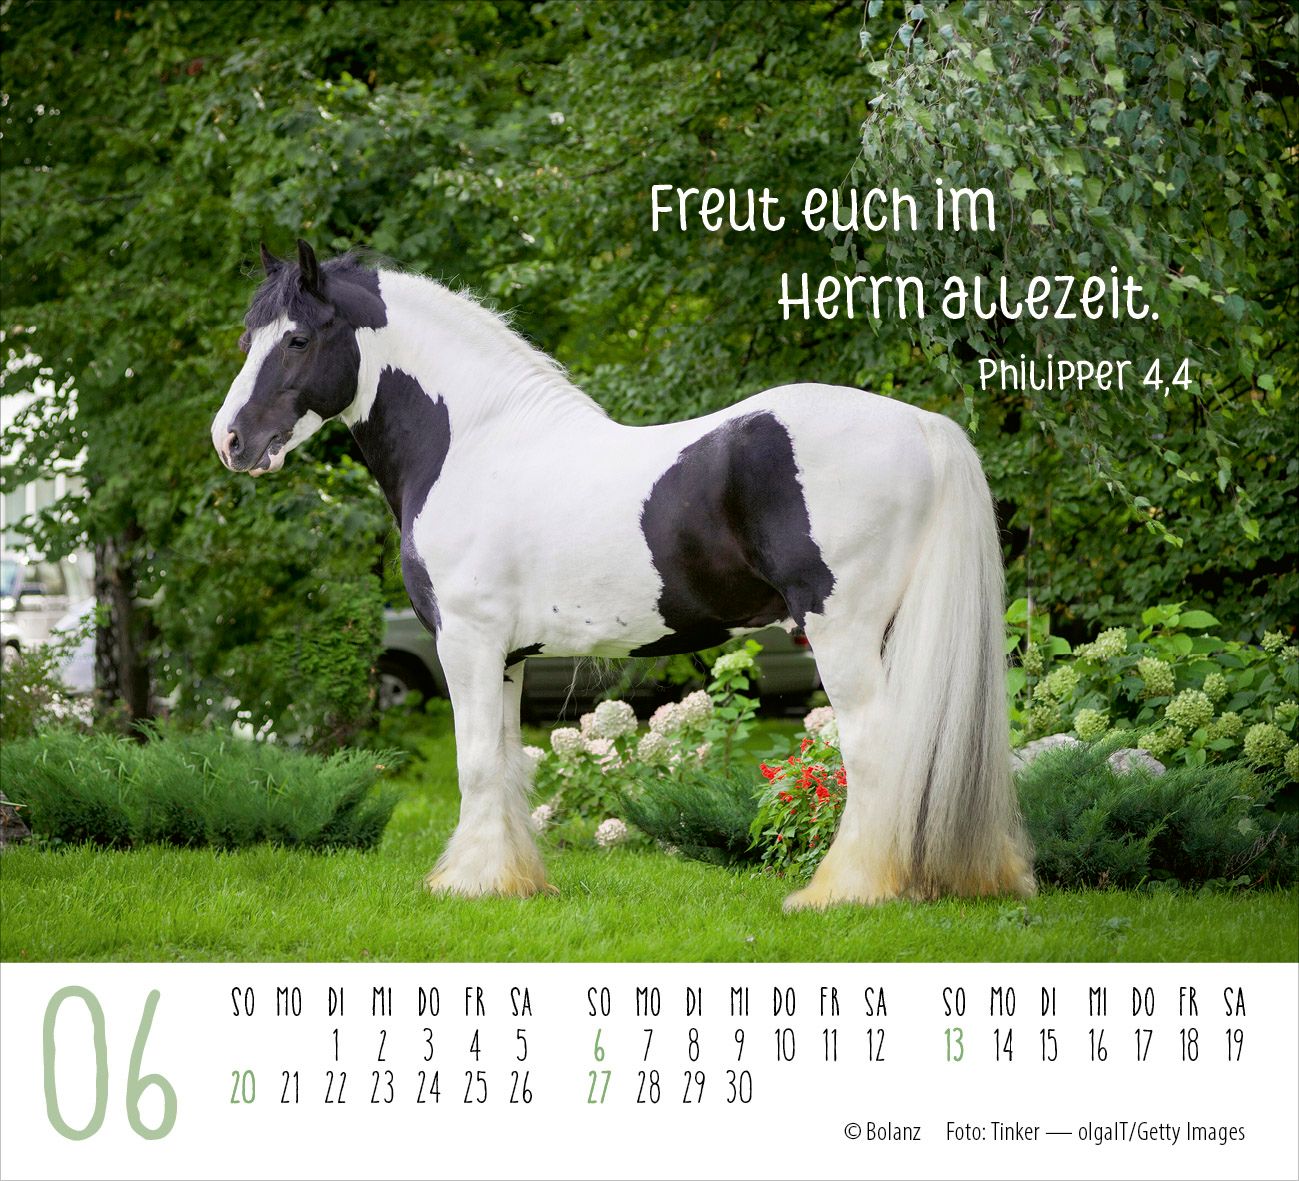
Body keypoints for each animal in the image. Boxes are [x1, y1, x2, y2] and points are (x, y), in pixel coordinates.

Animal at [210, 239, 1035, 909]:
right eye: (249, 337)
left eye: (298, 338)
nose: (232, 440)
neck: (472, 442)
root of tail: (921, 424)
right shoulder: (506, 655)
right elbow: (506, 765)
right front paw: (511, 880)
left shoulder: (465, 642)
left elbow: (474, 763)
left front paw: (467, 883)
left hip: (843, 632)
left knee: (873, 750)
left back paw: (846, 890)